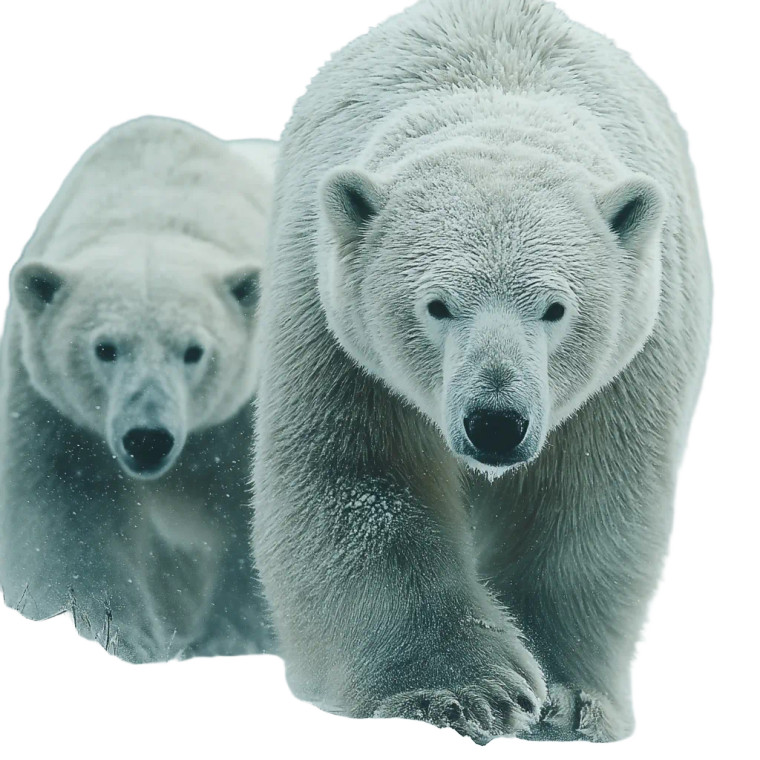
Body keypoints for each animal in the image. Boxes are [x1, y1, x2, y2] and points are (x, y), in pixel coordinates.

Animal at [0, 116, 277, 663]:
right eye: (105, 348)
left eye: (194, 350)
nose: (147, 438)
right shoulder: (58, 415)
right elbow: (70, 511)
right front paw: (115, 634)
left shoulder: (252, 405)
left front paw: (237, 639)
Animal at [252, 0, 711, 744]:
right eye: (437, 304)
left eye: (556, 307)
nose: (496, 422)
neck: (498, 97)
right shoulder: (335, 333)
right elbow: (361, 486)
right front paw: (464, 692)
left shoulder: (629, 363)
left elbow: (582, 507)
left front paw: (567, 701)